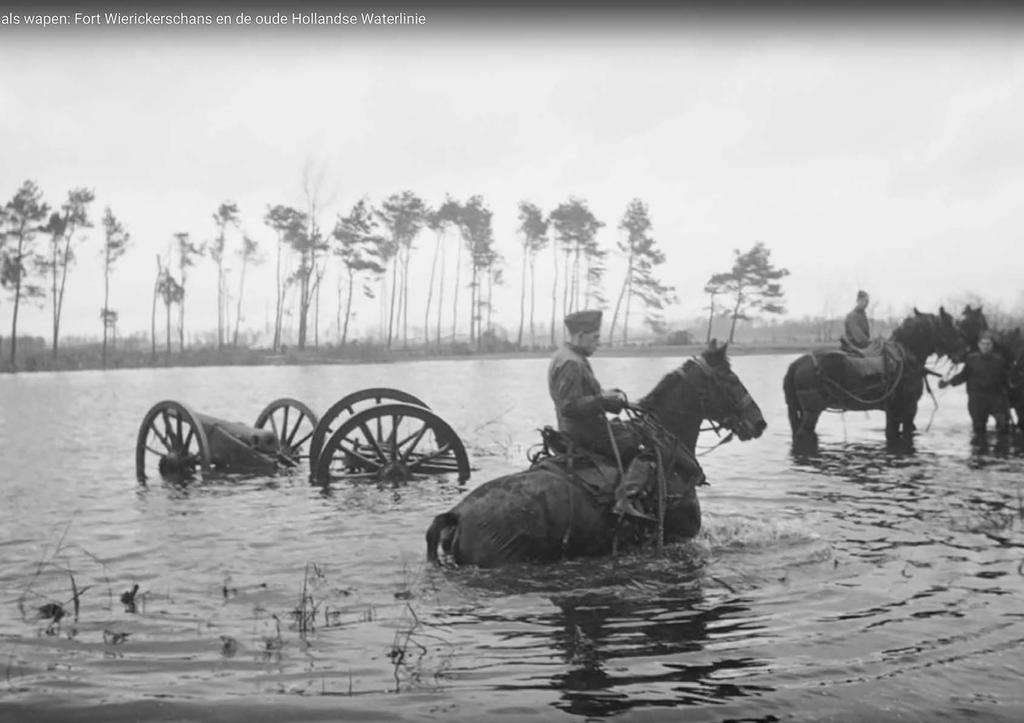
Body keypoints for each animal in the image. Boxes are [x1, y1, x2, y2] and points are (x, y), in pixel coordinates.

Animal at [782, 307, 966, 442]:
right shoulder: (907, 408)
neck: (906, 357)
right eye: (952, 327)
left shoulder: (897, 411)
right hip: (812, 411)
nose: (965, 351)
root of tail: (797, 364)